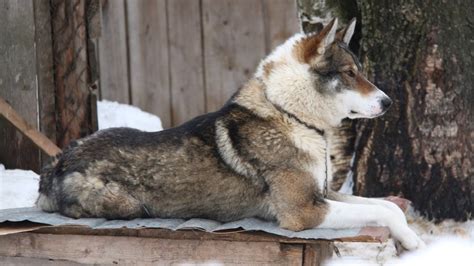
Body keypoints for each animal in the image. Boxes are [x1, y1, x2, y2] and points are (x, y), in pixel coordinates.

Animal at [36, 18, 422, 249]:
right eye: (349, 73)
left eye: (360, 71)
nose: (388, 102)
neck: (292, 115)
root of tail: (55, 164)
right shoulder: (303, 212)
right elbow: (384, 211)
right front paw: (413, 242)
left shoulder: (324, 193)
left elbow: (388, 206)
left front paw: (409, 238)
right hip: (128, 205)